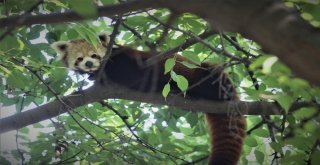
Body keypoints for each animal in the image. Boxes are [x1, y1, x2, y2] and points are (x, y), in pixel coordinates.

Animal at [52, 32, 248, 164]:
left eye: (94, 55)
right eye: (79, 58)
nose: (89, 64)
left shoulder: (131, 59)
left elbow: (130, 72)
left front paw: (99, 74)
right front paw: (90, 76)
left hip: (204, 72)